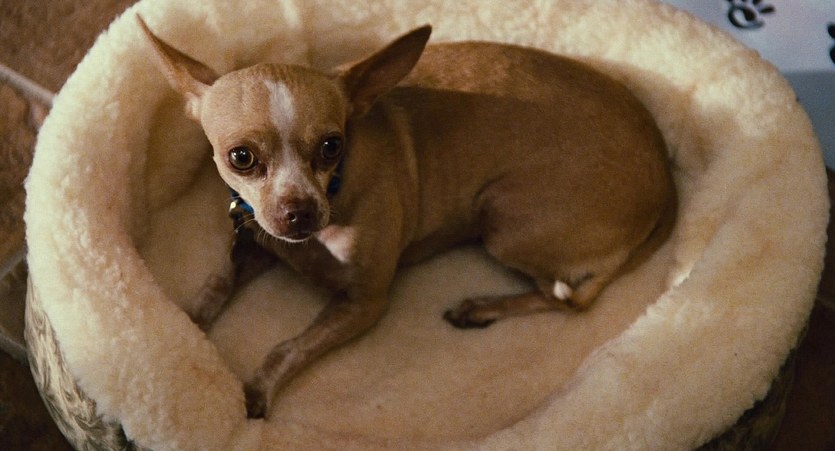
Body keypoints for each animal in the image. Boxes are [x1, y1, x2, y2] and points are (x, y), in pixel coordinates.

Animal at [138, 17, 676, 419]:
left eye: (332, 146)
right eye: (241, 158)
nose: (301, 212)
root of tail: (666, 182)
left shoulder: (365, 303)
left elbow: (288, 346)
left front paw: (258, 388)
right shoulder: (257, 247)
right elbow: (216, 284)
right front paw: (183, 328)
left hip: (503, 222)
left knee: (566, 299)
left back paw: (482, 308)